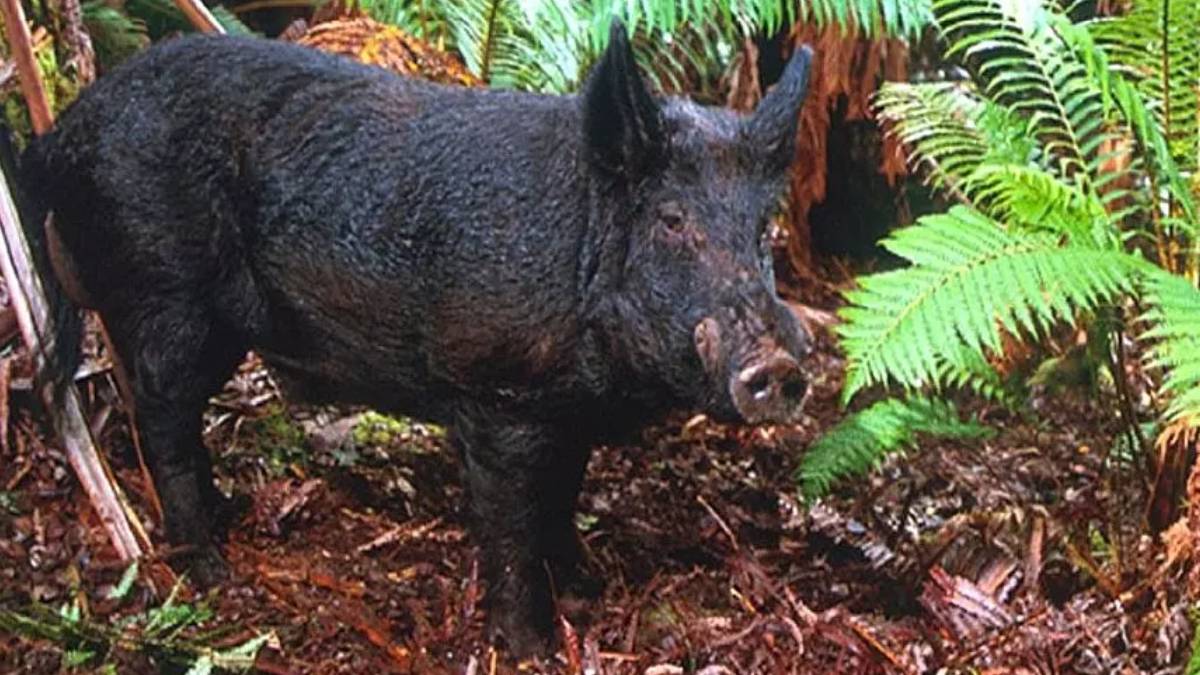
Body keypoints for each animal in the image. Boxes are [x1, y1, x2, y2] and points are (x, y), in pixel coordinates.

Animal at [17, 21, 812, 655]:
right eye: (672, 220)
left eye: (762, 230)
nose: (778, 365)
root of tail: (59, 134)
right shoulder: (497, 395)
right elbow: (513, 523)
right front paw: (531, 648)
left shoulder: (566, 410)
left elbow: (562, 496)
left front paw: (584, 587)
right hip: (163, 292)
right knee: (161, 413)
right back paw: (210, 568)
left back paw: (227, 517)